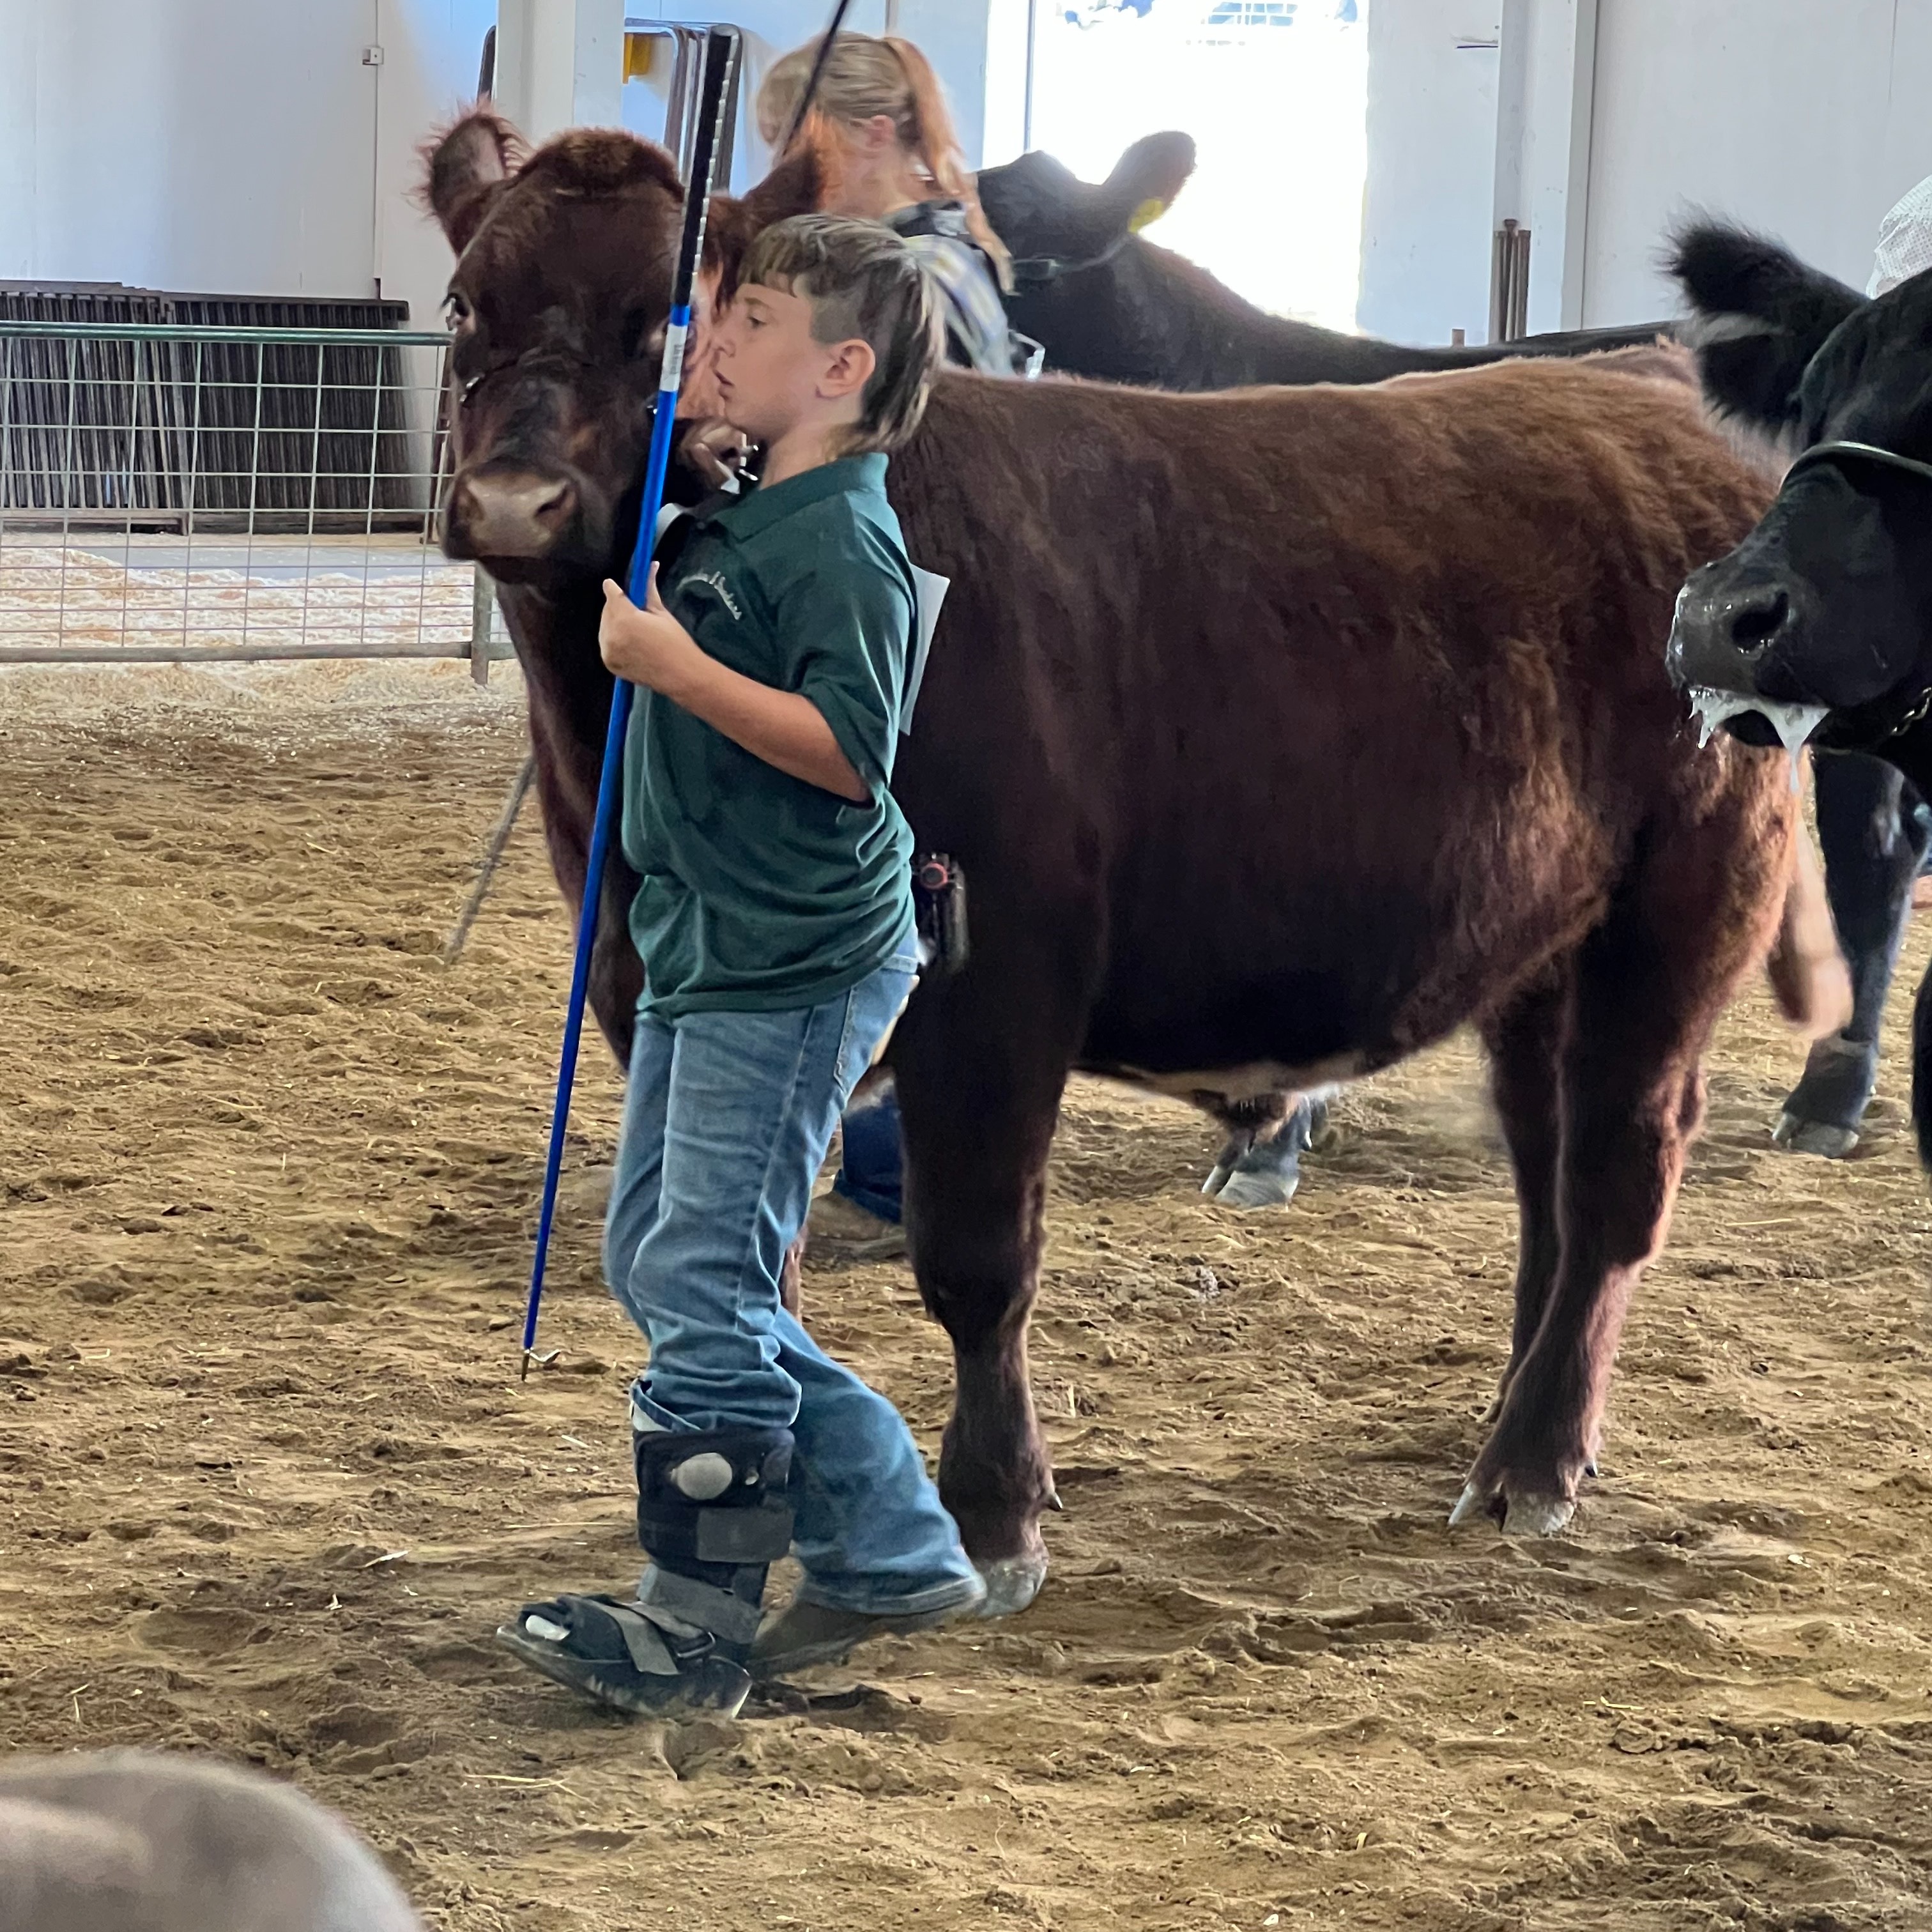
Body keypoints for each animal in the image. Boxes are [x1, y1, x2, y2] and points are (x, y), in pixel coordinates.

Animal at [423, 112, 1839, 1607]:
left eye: (668, 318)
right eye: (464, 302)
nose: (516, 503)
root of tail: (1645, 396)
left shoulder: (996, 979)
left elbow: (977, 1259)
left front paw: (993, 1514)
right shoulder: (645, 983)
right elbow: (750, 1256)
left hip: (1678, 912)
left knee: (1618, 1174)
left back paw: (1533, 1463)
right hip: (1541, 950)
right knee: (1547, 1180)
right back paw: (1526, 1420)